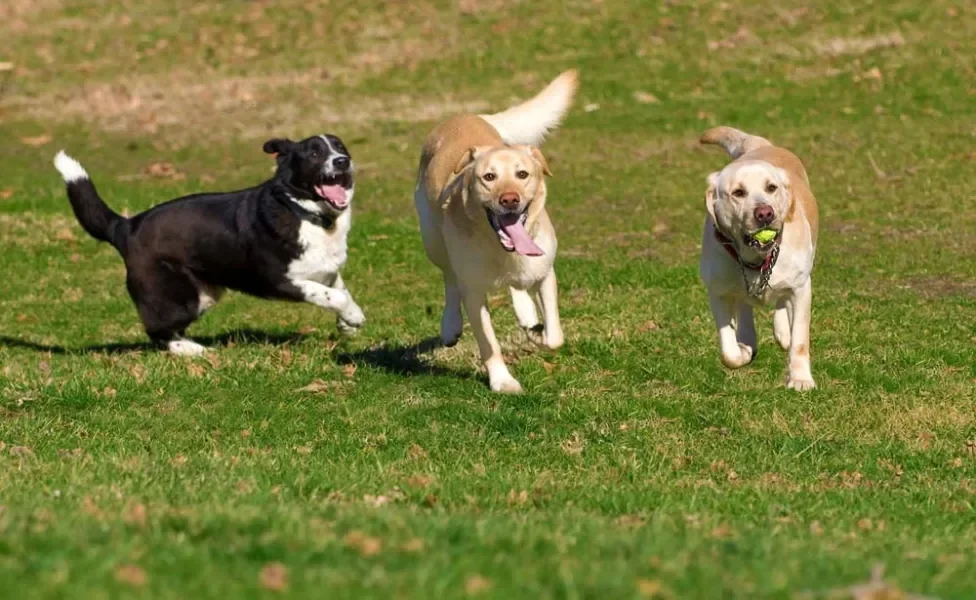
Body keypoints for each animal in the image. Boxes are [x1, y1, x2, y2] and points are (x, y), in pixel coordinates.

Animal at [55, 134, 366, 354]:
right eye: (314, 153)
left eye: (341, 147)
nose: (342, 161)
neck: (307, 213)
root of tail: (126, 226)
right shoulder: (280, 280)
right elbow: (334, 296)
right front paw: (354, 317)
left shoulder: (327, 270)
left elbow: (339, 289)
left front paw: (346, 323)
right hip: (179, 299)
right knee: (157, 331)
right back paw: (192, 350)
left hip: (203, 294)